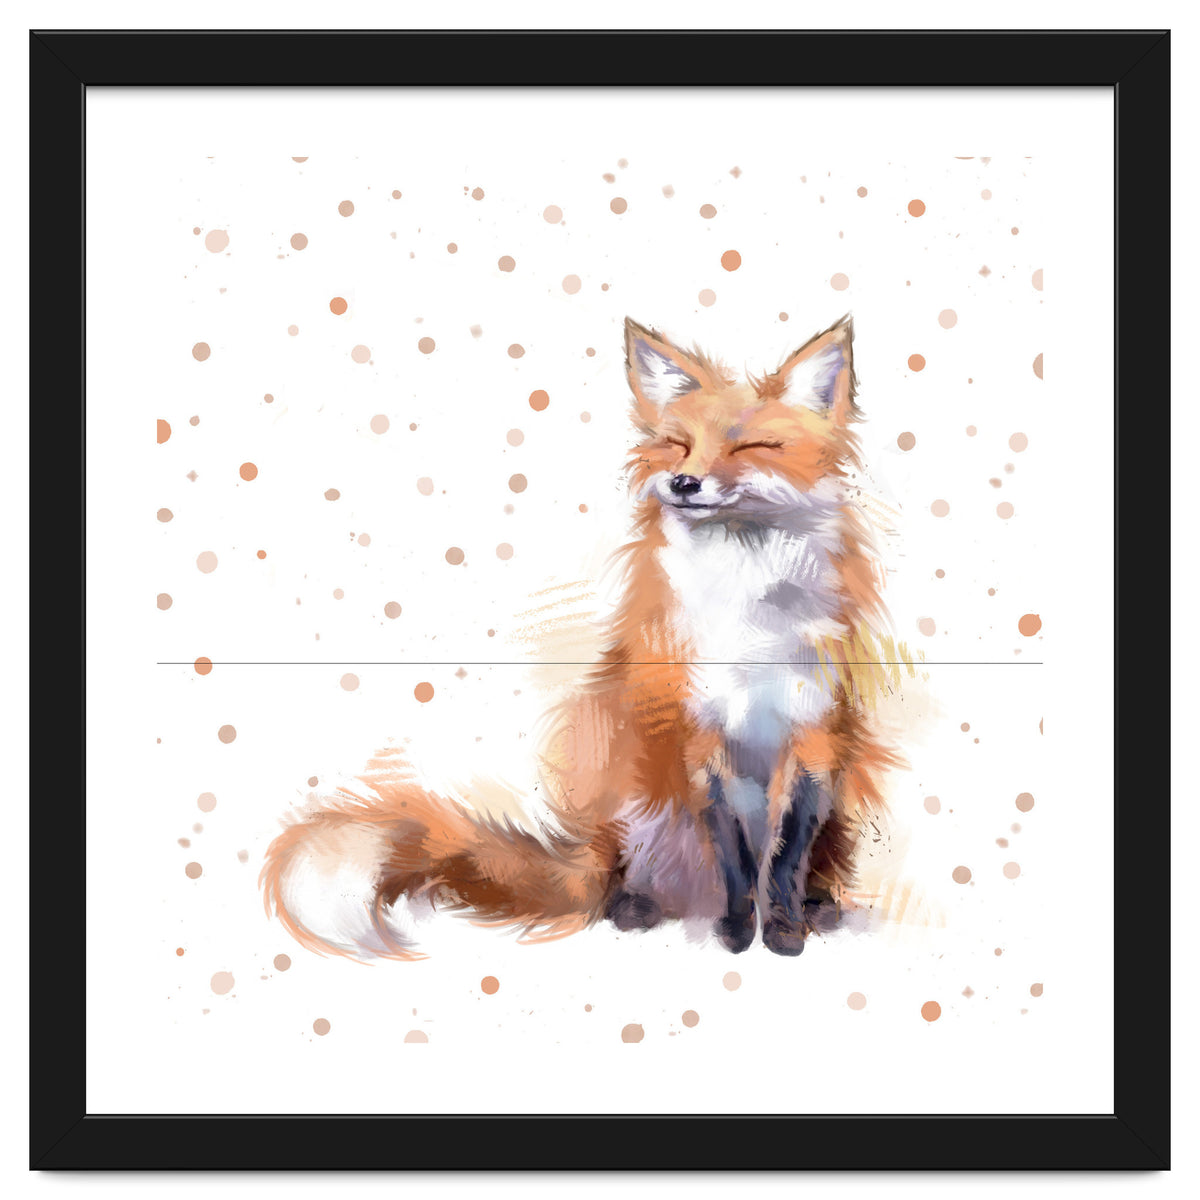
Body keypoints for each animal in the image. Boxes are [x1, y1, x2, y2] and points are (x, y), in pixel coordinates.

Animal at [261, 313, 905, 959]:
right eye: (677, 444)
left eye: (751, 447)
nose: (683, 481)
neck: (746, 616)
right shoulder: (698, 735)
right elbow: (735, 856)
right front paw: (736, 931)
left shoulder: (816, 736)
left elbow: (785, 856)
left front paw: (784, 930)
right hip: (627, 782)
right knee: (623, 874)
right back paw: (638, 905)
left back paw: (818, 907)